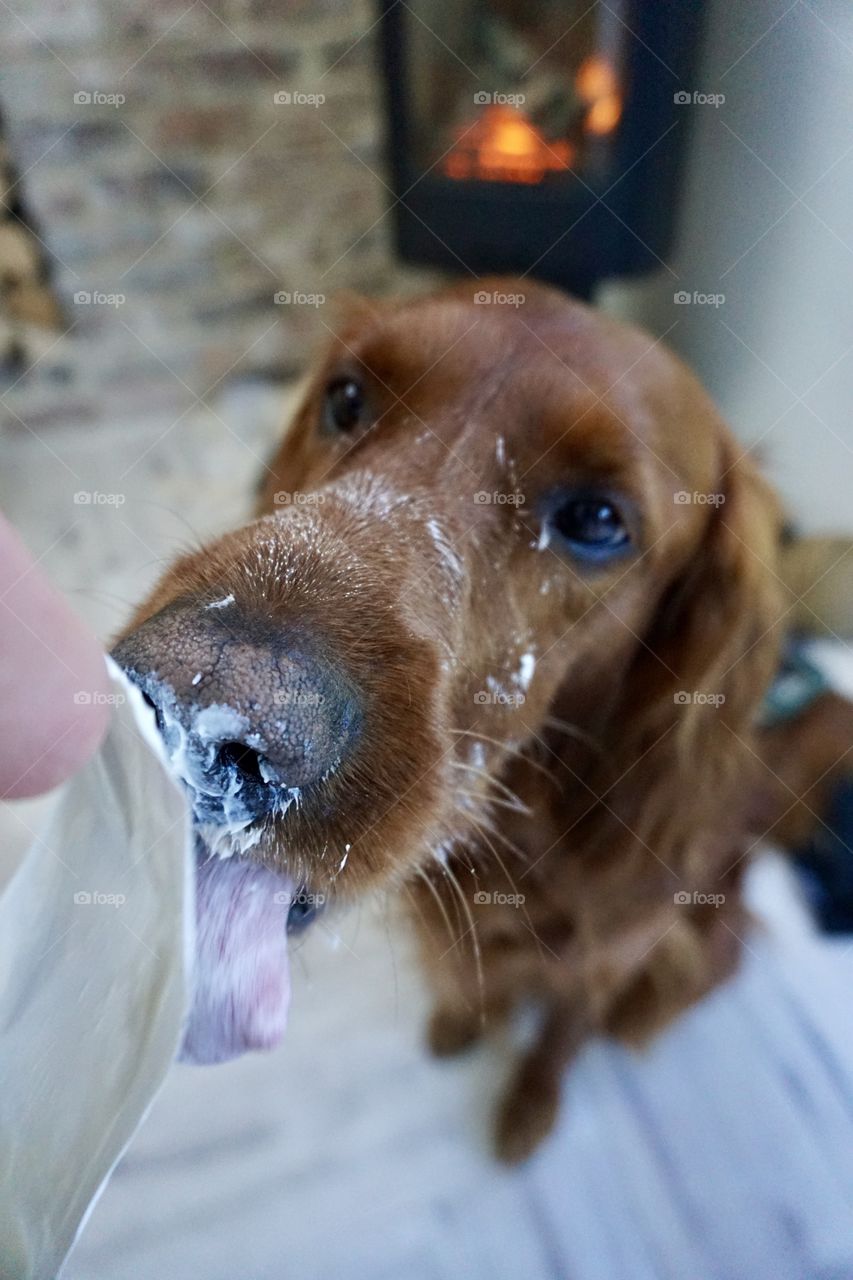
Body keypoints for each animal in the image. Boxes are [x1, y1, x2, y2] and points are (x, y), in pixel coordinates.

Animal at [114, 280, 850, 1162]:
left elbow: (561, 1036)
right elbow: (477, 989)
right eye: (347, 398)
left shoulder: (608, 956)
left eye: (597, 520)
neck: (524, 841)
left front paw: (529, 1108)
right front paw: (462, 1025)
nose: (191, 707)